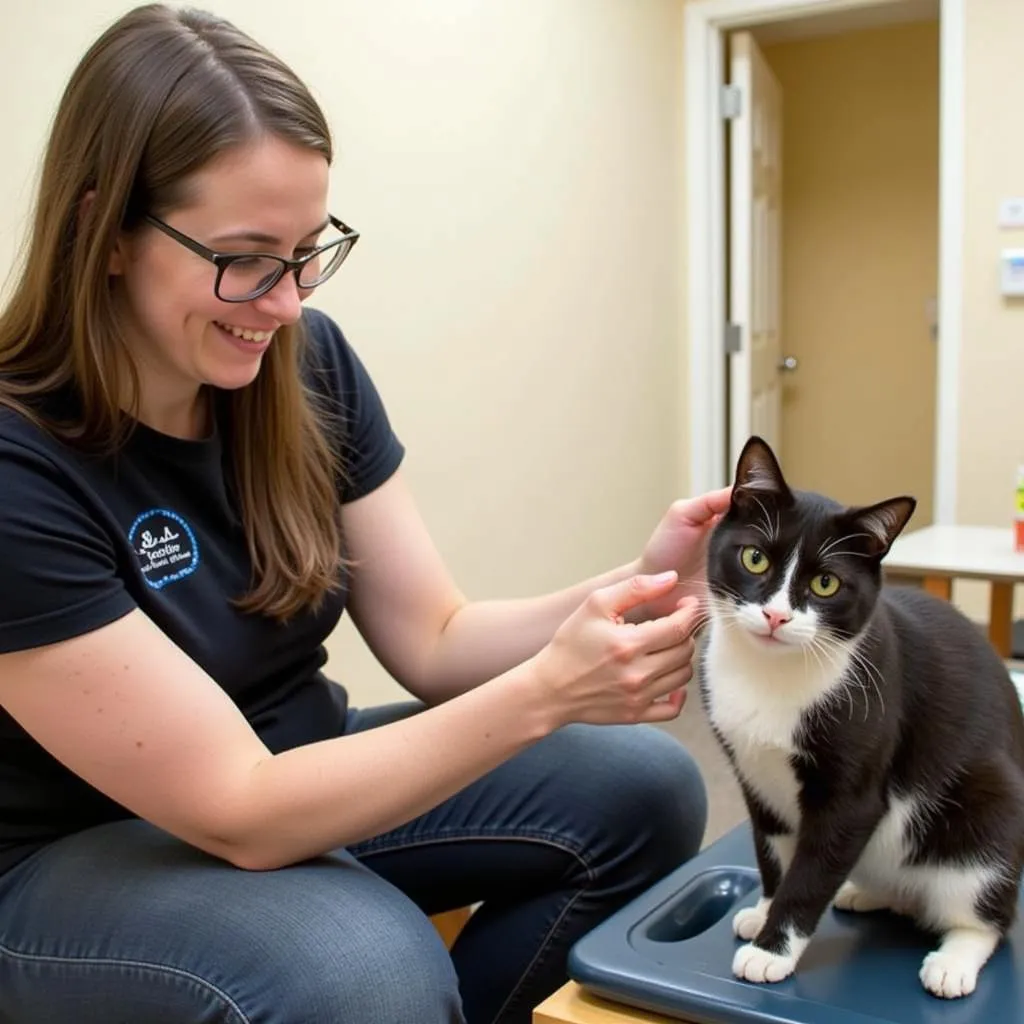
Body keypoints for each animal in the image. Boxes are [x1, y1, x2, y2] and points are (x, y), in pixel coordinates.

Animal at [700, 434, 1024, 999]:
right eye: (755, 558)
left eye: (827, 584)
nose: (775, 615)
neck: (770, 672)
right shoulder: (755, 776)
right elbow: (773, 851)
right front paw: (764, 910)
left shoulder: (852, 792)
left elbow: (812, 869)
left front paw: (771, 950)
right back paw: (867, 893)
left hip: (991, 806)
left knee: (989, 916)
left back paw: (954, 960)